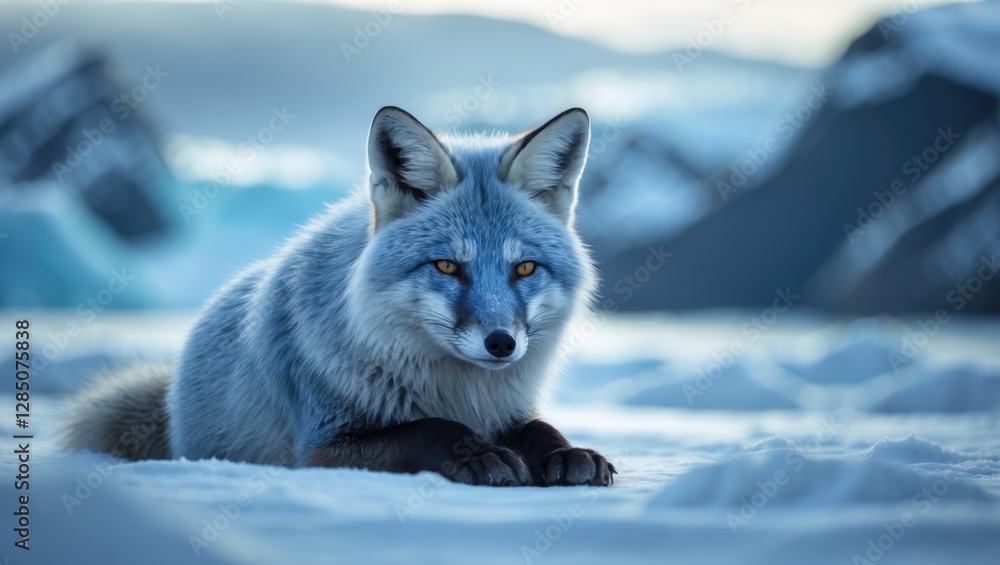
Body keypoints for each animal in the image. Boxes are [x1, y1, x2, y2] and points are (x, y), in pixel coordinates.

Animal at [62, 106, 615, 487]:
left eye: (524, 268)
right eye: (446, 266)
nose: (502, 343)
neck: (458, 390)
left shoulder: (508, 410)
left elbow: (540, 429)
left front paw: (568, 454)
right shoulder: (322, 448)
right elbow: (432, 429)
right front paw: (479, 455)